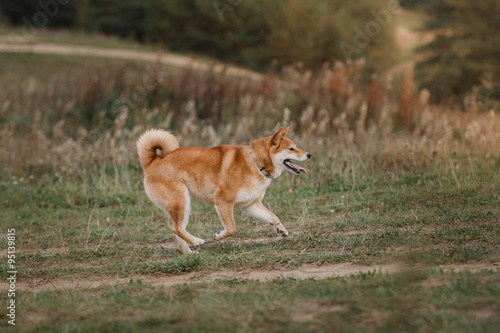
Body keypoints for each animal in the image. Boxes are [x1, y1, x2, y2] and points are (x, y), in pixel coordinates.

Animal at [136, 126, 308, 253]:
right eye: (291, 149)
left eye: (296, 147)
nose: (309, 155)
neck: (256, 163)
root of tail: (152, 162)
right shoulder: (223, 202)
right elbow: (232, 228)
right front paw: (218, 236)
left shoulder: (250, 205)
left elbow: (273, 216)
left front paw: (281, 230)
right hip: (181, 202)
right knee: (177, 229)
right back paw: (197, 241)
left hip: (184, 206)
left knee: (176, 233)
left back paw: (190, 254)